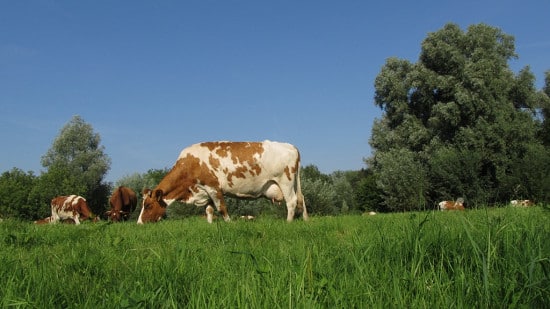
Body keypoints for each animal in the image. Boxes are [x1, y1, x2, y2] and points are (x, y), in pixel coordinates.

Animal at [138, 141, 310, 223]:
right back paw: (305, 220)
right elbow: (209, 211)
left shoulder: (213, 187)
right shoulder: (204, 191)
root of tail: (290, 146)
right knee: (301, 199)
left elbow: (221, 209)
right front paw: (210, 226)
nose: (139, 223)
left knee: (292, 201)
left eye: (148, 205)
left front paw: (230, 223)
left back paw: (288, 222)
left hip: (285, 181)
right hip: (294, 183)